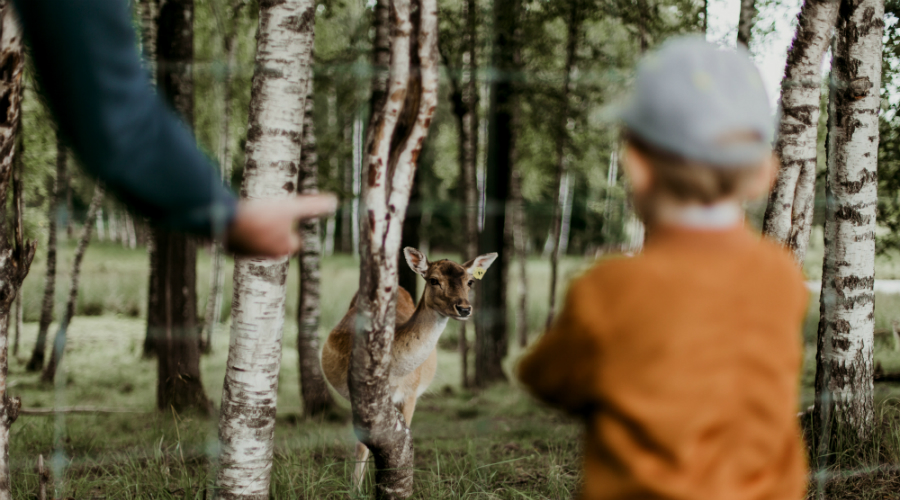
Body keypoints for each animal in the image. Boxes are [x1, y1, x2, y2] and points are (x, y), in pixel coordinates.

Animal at [320, 246, 496, 488]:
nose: (463, 308)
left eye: (470, 281)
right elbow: (361, 447)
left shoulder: (411, 393)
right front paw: (355, 489)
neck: (395, 372)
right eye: (434, 280)